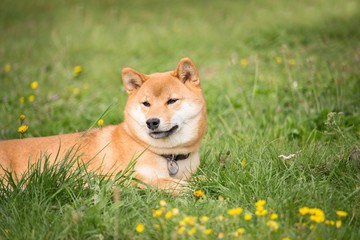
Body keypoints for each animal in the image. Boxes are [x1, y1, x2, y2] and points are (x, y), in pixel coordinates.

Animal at [0, 57, 207, 192]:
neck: (168, 156)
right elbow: (162, 182)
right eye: (146, 103)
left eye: (171, 101)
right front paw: (190, 187)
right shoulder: (120, 178)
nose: (152, 122)